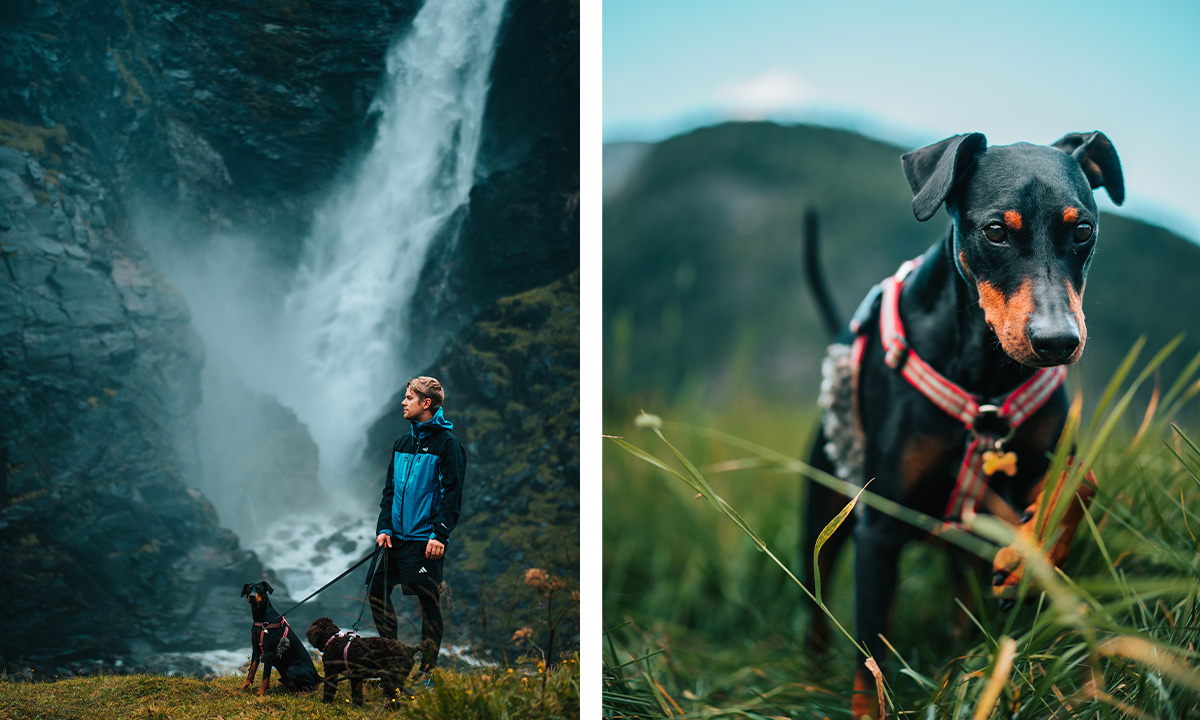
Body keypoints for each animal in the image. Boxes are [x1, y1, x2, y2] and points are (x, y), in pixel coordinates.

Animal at [307, 614, 439, 705]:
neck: (334, 639)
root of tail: (410, 650)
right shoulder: (356, 676)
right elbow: (357, 693)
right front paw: (358, 705)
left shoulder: (331, 673)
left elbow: (329, 689)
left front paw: (325, 702)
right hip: (397, 678)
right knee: (405, 694)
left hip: (390, 678)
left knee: (397, 696)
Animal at [806, 132, 1123, 715]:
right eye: (995, 231)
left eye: (1083, 230)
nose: (1058, 343)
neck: (986, 376)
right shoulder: (878, 526)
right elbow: (870, 657)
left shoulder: (1040, 463)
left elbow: (1082, 480)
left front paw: (1027, 558)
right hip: (825, 502)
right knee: (814, 604)